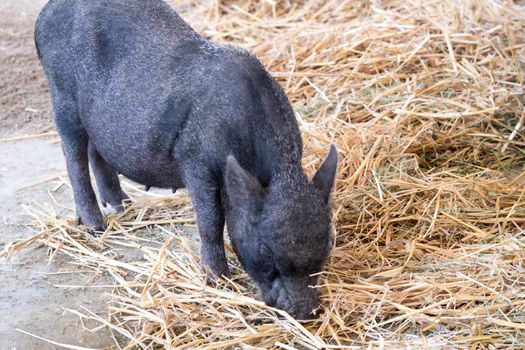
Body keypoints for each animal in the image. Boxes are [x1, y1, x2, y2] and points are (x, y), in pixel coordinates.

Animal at [33, 0, 336, 318]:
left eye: (326, 245)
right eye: (267, 250)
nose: (305, 311)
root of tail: (45, 13)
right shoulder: (196, 162)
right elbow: (211, 221)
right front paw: (218, 281)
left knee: (95, 150)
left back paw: (121, 204)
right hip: (63, 96)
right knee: (73, 156)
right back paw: (95, 226)